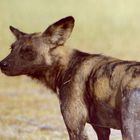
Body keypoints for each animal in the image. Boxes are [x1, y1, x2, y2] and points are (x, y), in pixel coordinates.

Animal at [0, 16, 140, 139]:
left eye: (28, 51)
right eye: (11, 48)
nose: (2, 64)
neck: (65, 66)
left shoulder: (76, 127)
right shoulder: (102, 129)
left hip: (128, 132)